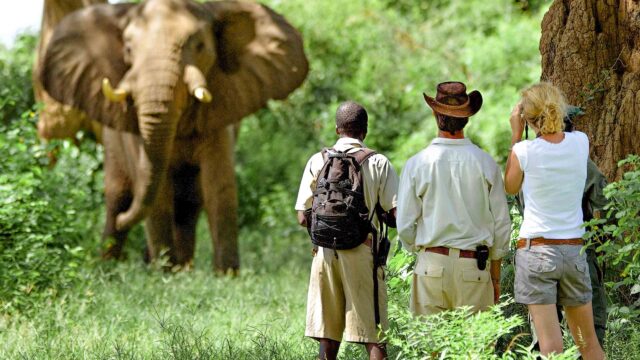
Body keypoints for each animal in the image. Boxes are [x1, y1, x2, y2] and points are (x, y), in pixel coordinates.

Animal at [37, 0, 308, 272]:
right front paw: (164, 273)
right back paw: (112, 266)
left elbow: (219, 186)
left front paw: (225, 274)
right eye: (128, 49)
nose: (126, 220)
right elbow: (158, 194)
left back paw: (181, 267)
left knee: (188, 205)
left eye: (199, 46)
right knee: (118, 199)